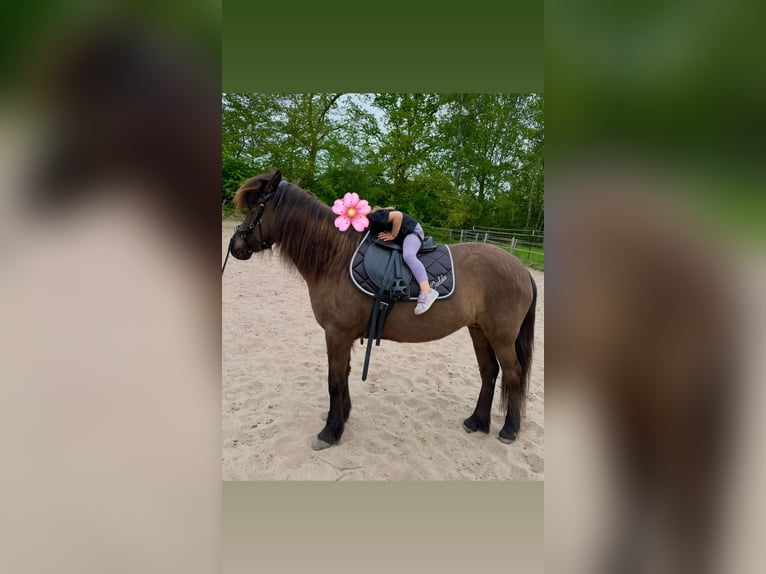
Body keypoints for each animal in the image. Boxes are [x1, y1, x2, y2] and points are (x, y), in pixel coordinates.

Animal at [228, 170, 538, 451]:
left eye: (256, 207)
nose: (235, 246)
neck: (335, 258)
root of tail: (522, 269)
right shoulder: (344, 336)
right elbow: (345, 374)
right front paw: (342, 416)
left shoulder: (336, 334)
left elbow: (334, 379)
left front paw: (330, 431)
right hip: (479, 331)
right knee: (489, 372)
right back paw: (477, 421)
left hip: (501, 336)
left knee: (512, 373)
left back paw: (509, 429)